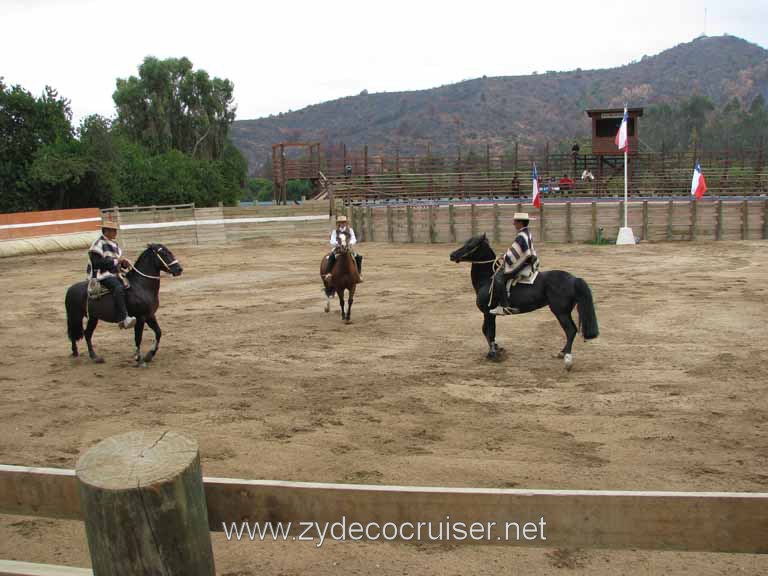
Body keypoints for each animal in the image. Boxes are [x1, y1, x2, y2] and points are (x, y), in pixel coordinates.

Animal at [450, 233, 600, 372]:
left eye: (471, 245)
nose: (452, 255)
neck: (487, 280)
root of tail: (574, 279)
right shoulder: (490, 314)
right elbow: (487, 330)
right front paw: (497, 348)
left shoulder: (488, 312)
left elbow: (489, 331)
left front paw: (492, 354)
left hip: (560, 312)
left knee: (570, 330)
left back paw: (566, 357)